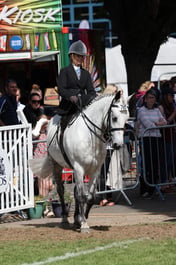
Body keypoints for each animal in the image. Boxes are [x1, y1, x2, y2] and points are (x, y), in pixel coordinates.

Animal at [29, 91, 129, 231]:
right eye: (114, 118)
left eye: (126, 119)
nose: (118, 145)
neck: (90, 137)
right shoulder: (79, 168)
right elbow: (82, 196)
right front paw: (84, 225)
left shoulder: (95, 170)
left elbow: (90, 197)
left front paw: (82, 219)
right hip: (57, 165)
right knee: (61, 190)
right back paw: (65, 219)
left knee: (75, 192)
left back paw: (76, 219)